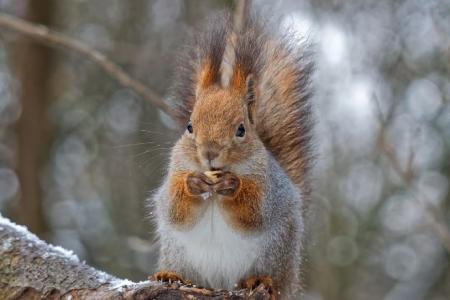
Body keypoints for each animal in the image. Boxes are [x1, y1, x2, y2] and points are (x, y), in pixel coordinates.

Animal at [151, 12, 312, 298]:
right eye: (189, 126)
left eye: (241, 130)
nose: (209, 153)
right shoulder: (177, 168)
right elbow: (174, 209)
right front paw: (194, 183)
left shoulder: (268, 187)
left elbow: (254, 213)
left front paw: (232, 185)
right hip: (177, 254)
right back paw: (169, 274)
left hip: (277, 255)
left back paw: (259, 281)